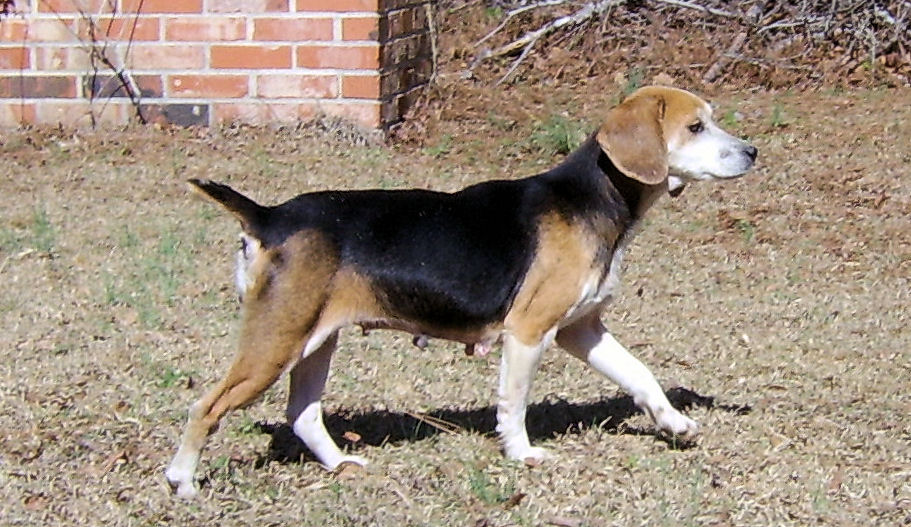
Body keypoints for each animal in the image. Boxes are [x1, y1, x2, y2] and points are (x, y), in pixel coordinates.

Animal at [166, 86, 757, 497]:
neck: (595, 195)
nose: (752, 151)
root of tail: (269, 217)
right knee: (205, 407)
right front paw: (523, 455)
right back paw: (183, 481)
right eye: (696, 126)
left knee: (303, 414)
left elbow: (640, 374)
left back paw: (340, 464)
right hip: (274, 342)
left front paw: (673, 423)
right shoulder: (529, 330)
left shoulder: (581, 329)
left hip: (315, 340)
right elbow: (514, 403)